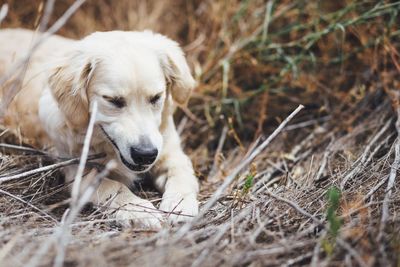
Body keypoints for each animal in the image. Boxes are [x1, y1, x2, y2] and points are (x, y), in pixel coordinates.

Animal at [0, 29, 199, 230]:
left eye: (156, 97)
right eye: (113, 101)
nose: (145, 154)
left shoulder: (170, 152)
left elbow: (181, 173)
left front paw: (180, 204)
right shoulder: (75, 170)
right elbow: (114, 186)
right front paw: (138, 210)